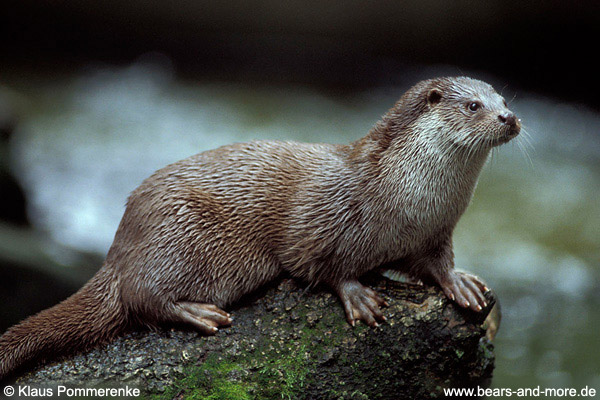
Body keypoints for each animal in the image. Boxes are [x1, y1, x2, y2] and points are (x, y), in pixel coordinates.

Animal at [0, 77, 520, 378]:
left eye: (503, 98)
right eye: (473, 106)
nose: (510, 117)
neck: (407, 201)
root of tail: (119, 246)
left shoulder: (434, 233)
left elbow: (436, 264)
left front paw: (461, 284)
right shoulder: (324, 217)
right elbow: (322, 262)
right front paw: (358, 294)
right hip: (179, 234)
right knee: (139, 295)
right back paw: (198, 313)